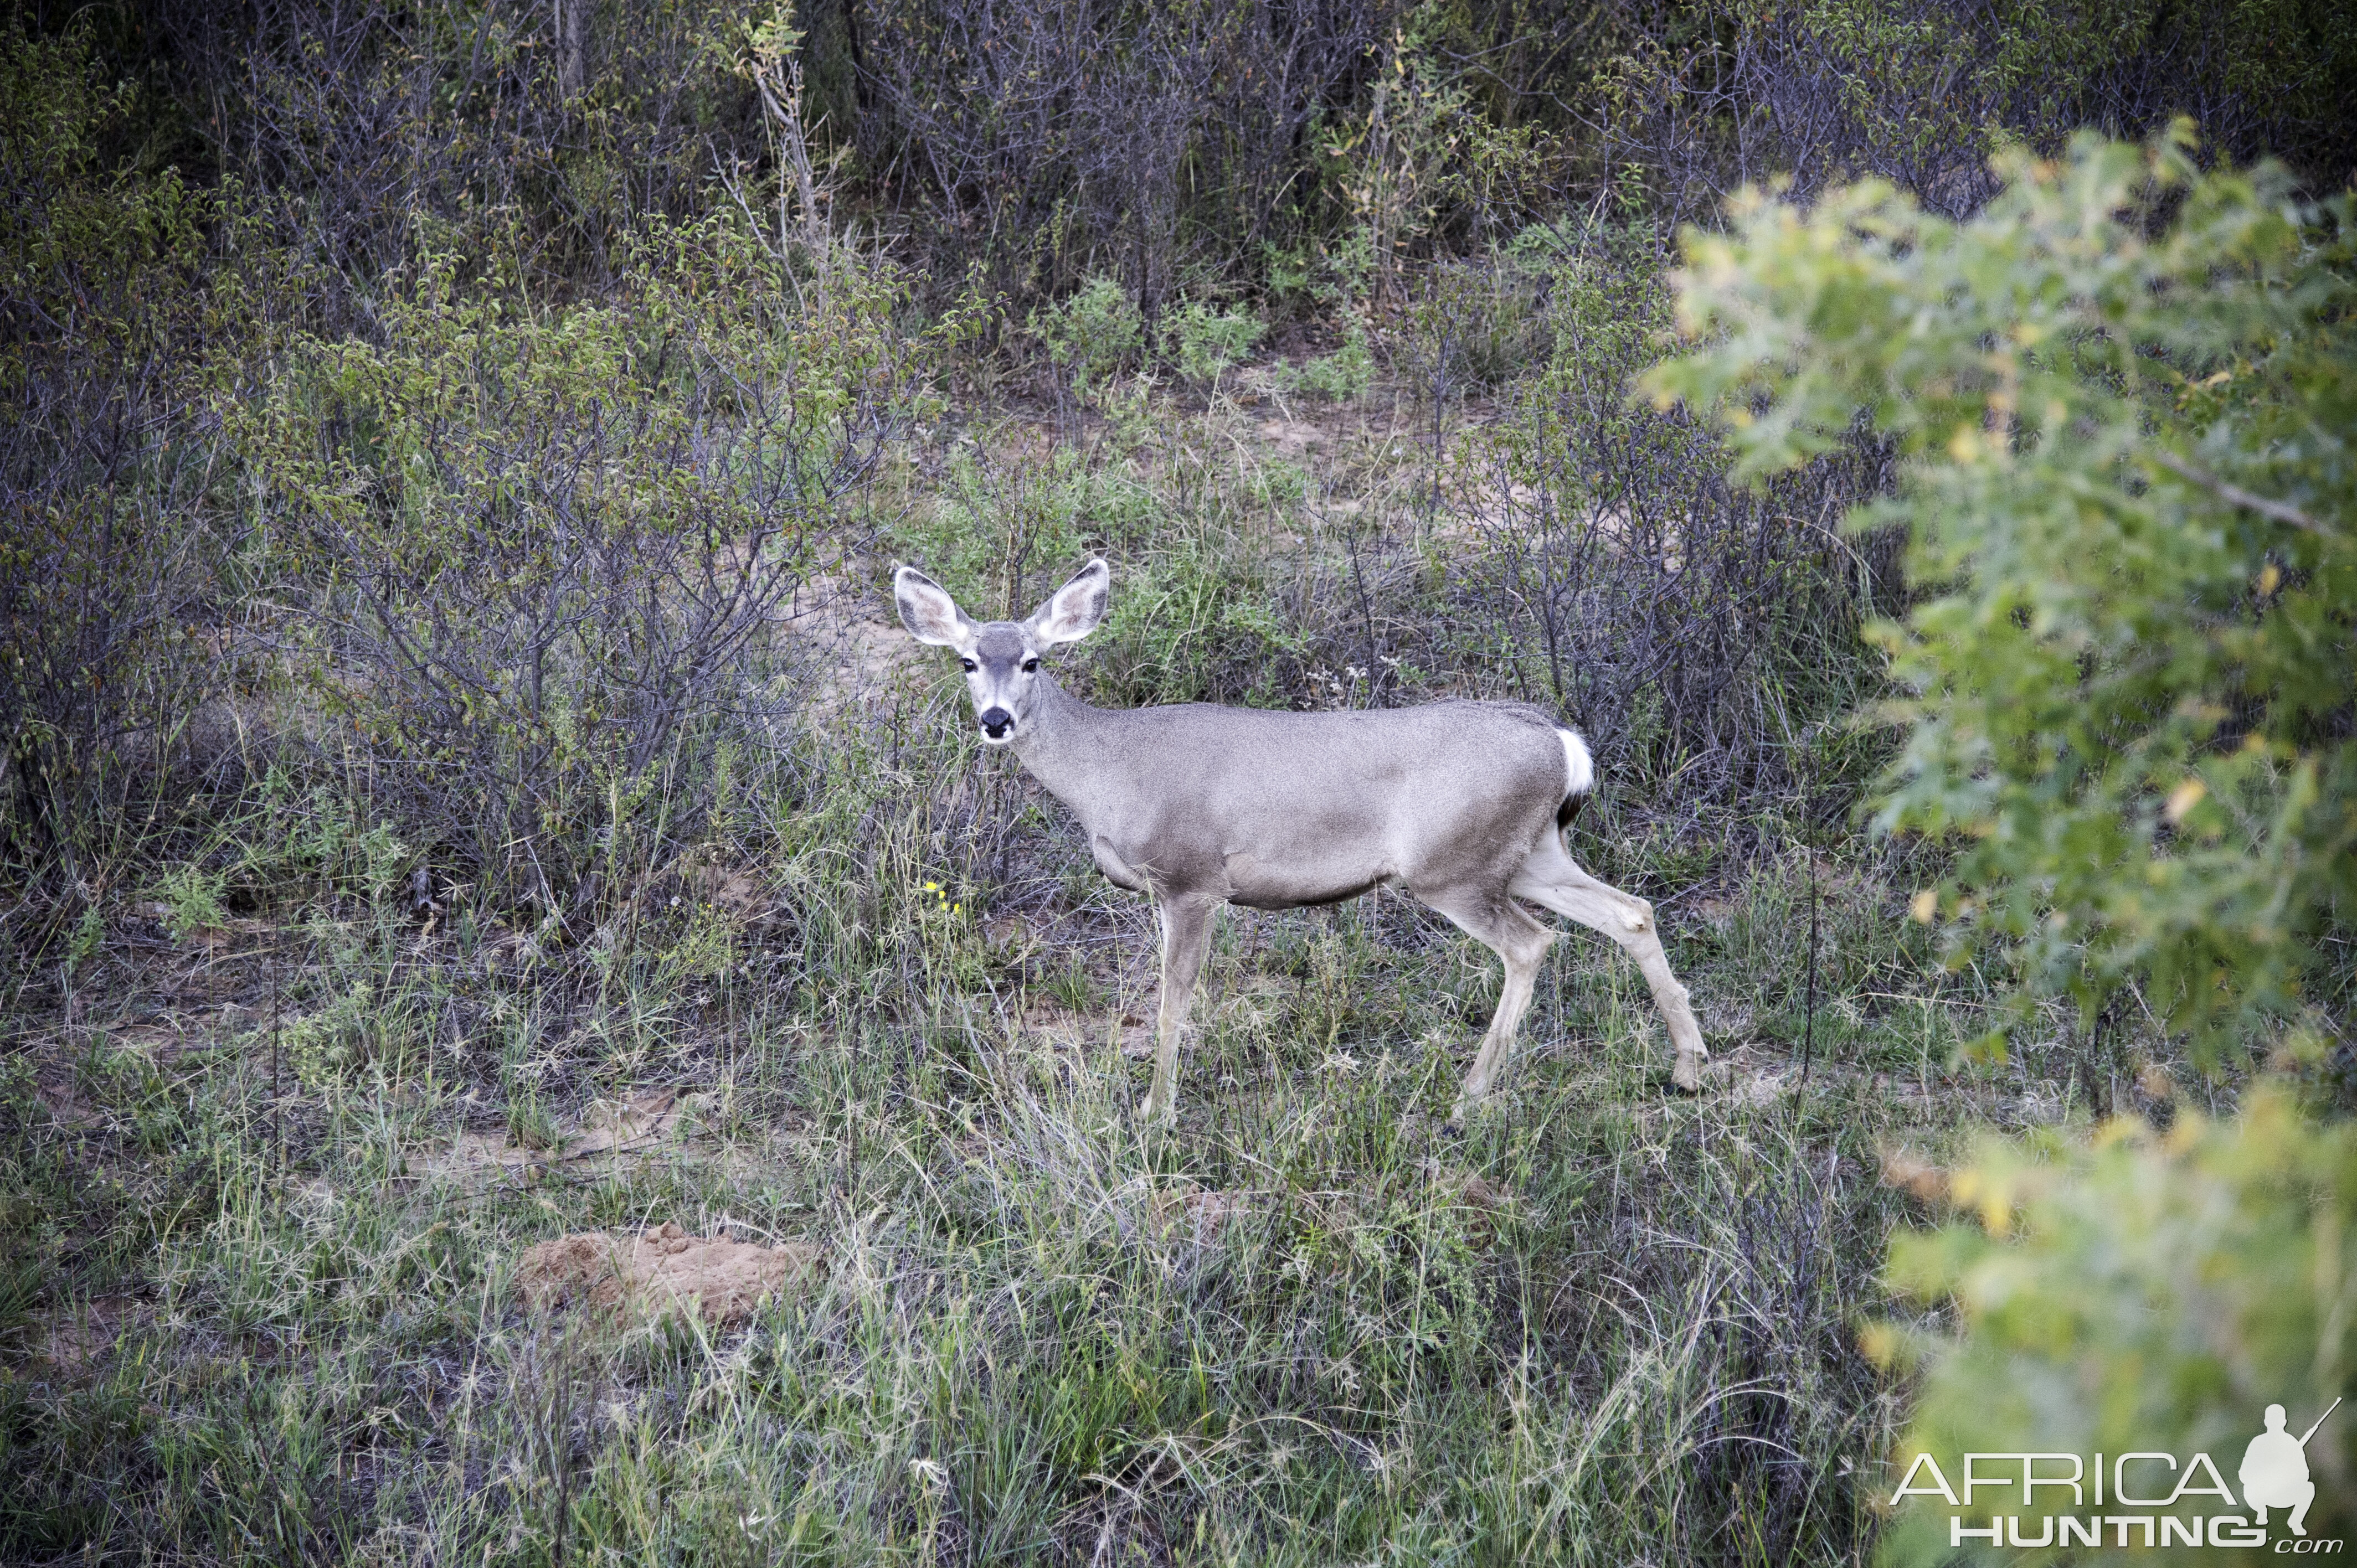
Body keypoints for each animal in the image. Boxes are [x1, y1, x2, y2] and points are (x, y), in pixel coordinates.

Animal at [891, 556, 1706, 1117]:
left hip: (1453, 865)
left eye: (1033, 661)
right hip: (1529, 850)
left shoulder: (1192, 879)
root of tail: (1559, 740)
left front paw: (1155, 1110)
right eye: (968, 661)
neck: (1109, 769)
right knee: (1631, 910)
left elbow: (1173, 998)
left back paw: (1469, 1096)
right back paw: (1689, 1068)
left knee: (1532, 944)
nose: (996, 721)